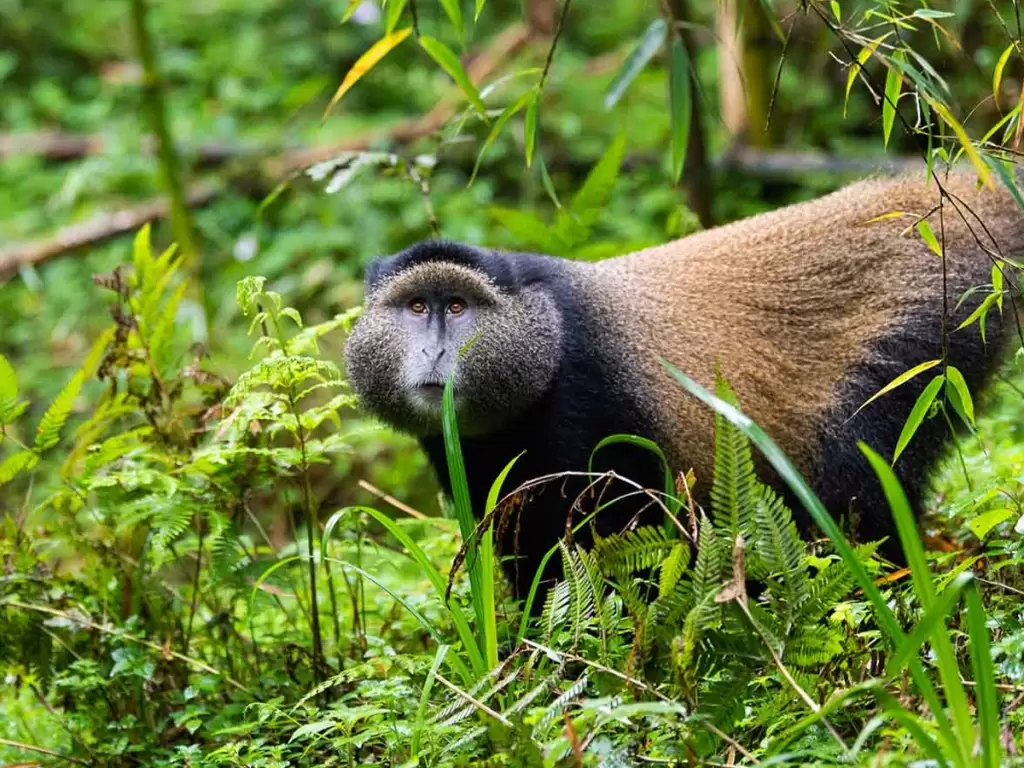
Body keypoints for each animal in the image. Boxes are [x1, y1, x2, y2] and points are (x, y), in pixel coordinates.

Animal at [344, 169, 1023, 604]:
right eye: (416, 307)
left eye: (456, 307)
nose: (434, 350)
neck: (546, 336)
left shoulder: (590, 410)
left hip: (924, 343)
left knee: (860, 484)